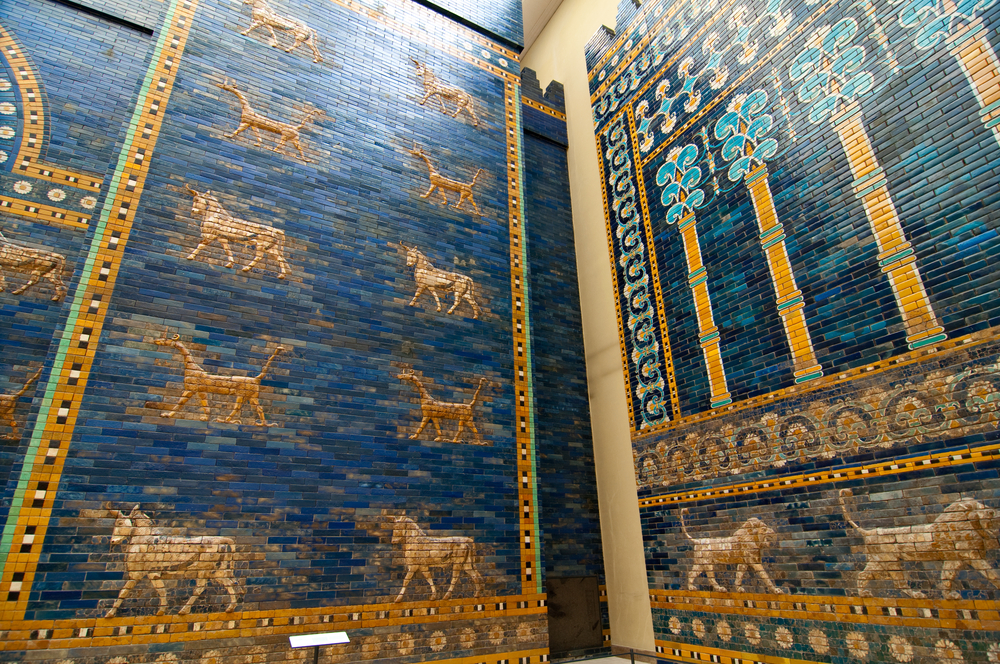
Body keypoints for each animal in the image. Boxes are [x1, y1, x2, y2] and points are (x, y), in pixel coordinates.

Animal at [840, 488, 1000, 598]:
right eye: (977, 507)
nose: (993, 512)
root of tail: (869, 533)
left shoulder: (955, 558)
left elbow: (946, 576)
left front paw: (949, 596)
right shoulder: (970, 555)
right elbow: (992, 574)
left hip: (879, 562)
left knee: (863, 575)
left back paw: (864, 594)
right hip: (889, 562)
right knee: (898, 583)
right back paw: (917, 595)